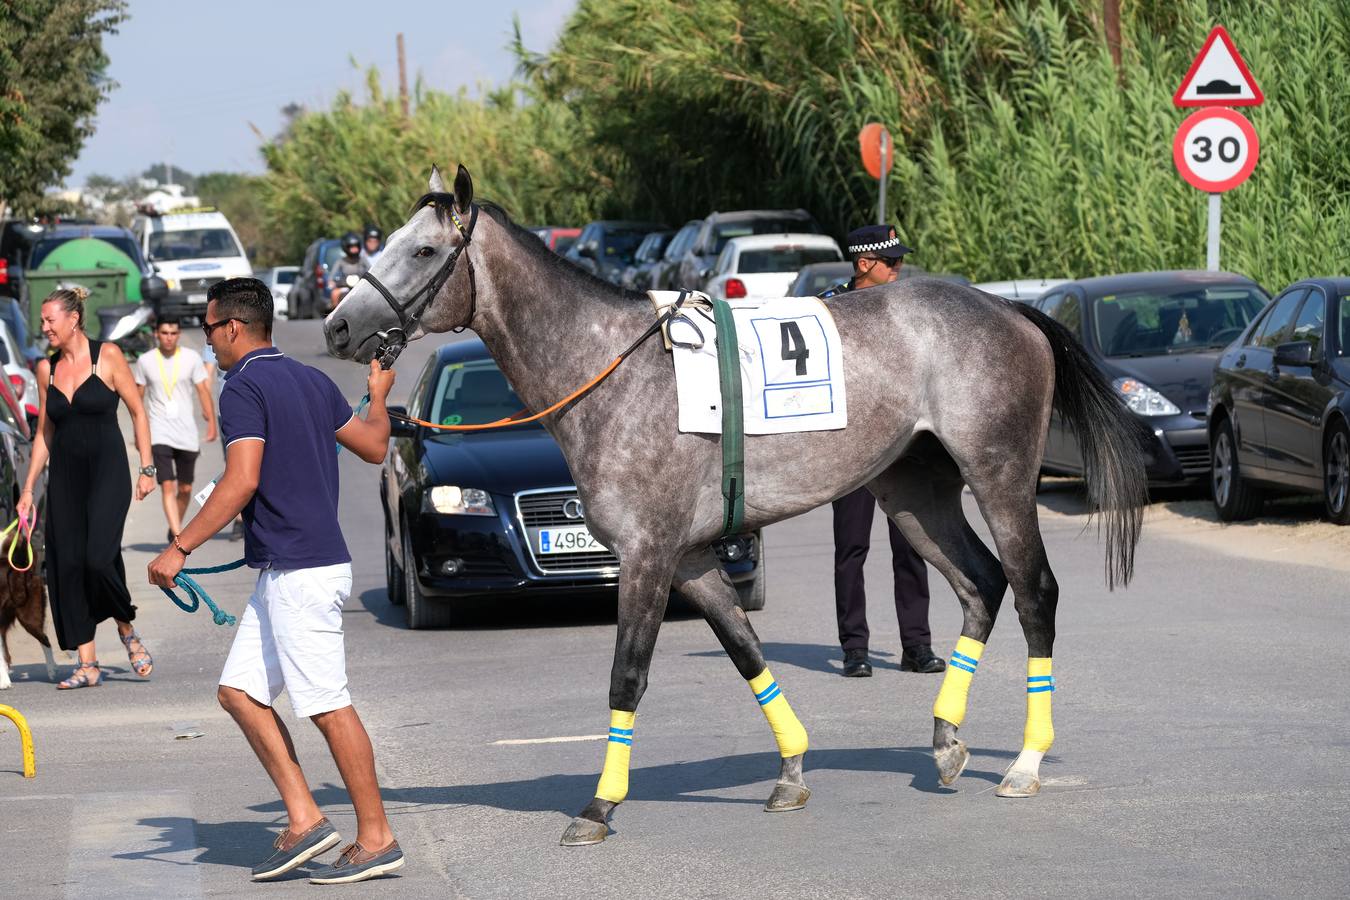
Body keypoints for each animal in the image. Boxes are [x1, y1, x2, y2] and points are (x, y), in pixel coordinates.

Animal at [326, 163, 1150, 847]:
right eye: (388, 243)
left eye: (422, 252)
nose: (338, 324)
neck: (614, 372)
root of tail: (1012, 313)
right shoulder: (691, 559)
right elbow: (747, 653)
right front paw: (790, 773)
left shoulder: (648, 556)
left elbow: (628, 675)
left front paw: (600, 805)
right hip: (913, 493)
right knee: (980, 582)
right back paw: (946, 740)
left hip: (999, 475)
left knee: (1034, 591)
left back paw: (1026, 762)